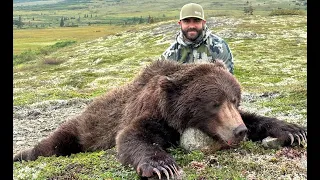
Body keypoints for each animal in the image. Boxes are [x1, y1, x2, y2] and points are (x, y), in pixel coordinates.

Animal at [13, 59, 306, 179]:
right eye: (214, 104)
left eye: (234, 100)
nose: (239, 131)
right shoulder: (149, 114)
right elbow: (132, 137)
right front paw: (163, 166)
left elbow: (256, 118)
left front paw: (292, 130)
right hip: (83, 128)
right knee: (53, 143)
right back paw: (22, 154)